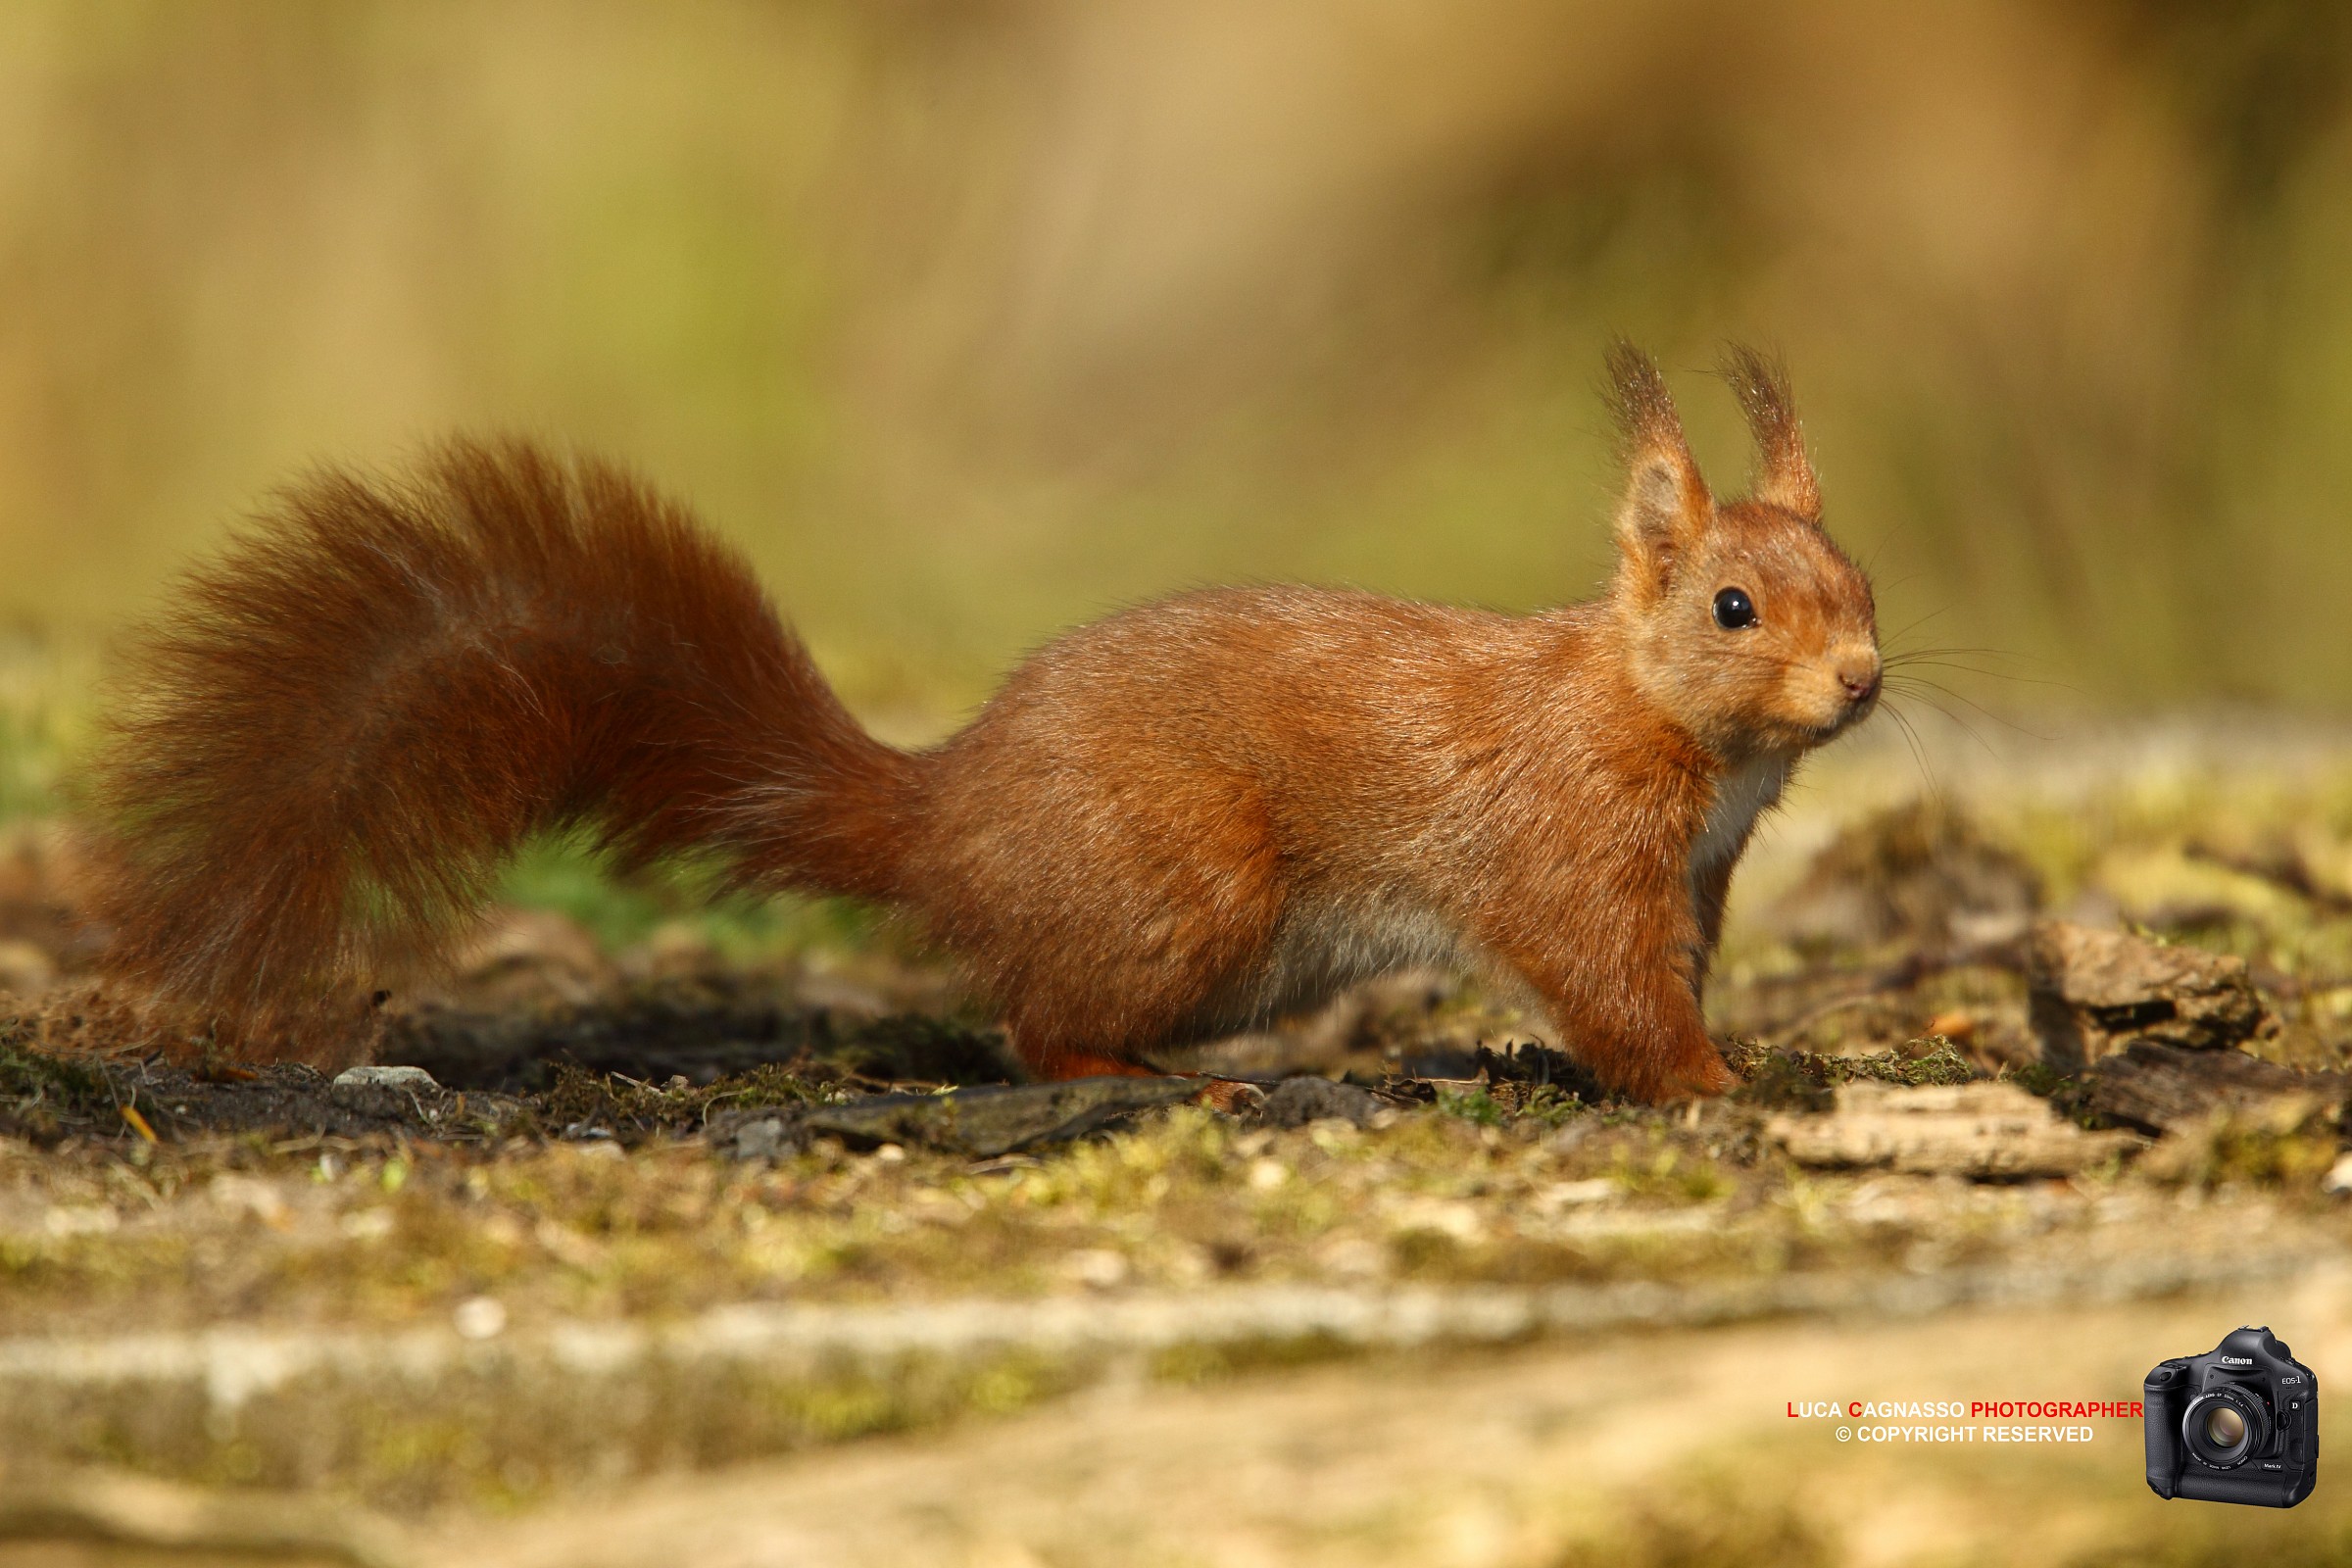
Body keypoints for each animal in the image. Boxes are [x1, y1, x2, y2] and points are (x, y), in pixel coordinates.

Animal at [79, 343, 1878, 1102]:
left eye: (1863, 578)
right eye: (1733, 608)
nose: (1863, 682)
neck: (1667, 724)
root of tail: (942, 815)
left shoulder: (1695, 875)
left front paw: (1746, 1053)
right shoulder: (1568, 843)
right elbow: (1608, 982)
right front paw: (1719, 1084)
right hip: (1188, 878)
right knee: (1030, 1022)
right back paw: (1149, 1078)